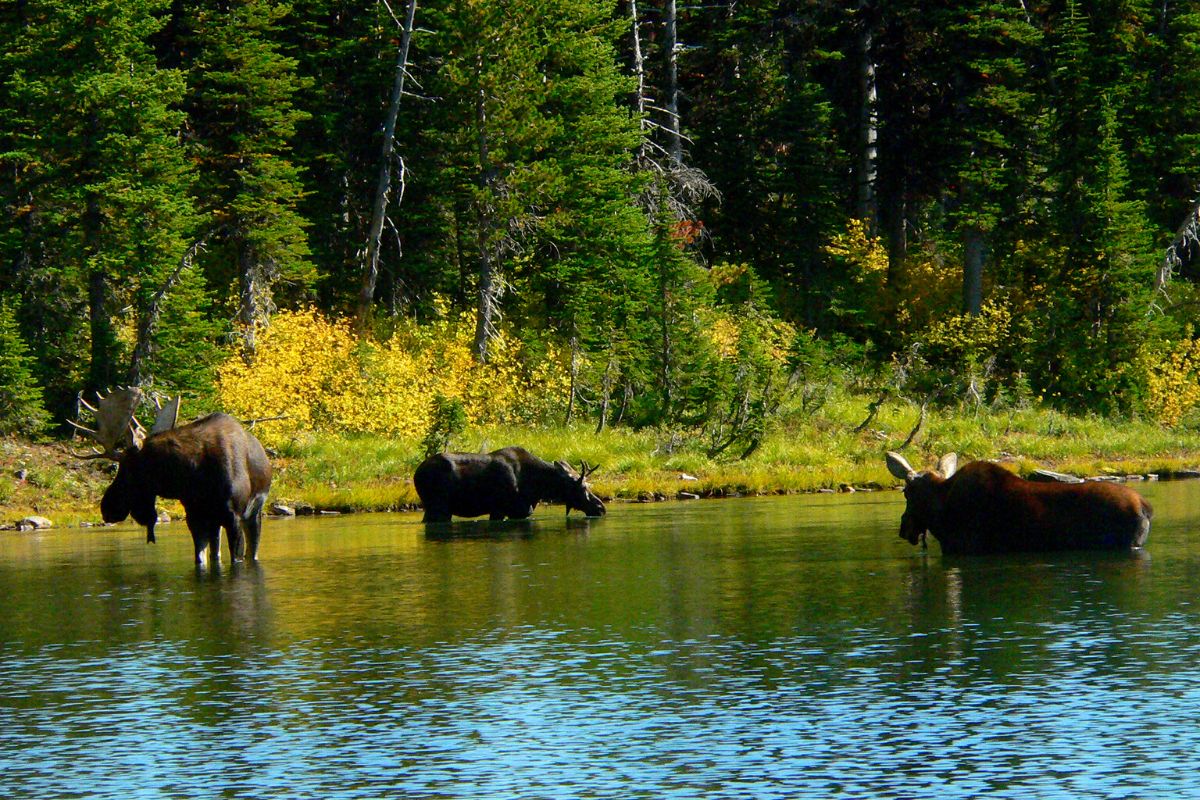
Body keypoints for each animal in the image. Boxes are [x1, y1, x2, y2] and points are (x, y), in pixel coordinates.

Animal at [73, 388, 273, 566]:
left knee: (252, 551)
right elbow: (200, 558)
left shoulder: (233, 517)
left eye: (126, 469)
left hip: (252, 513)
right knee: (216, 552)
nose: (106, 508)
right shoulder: (195, 516)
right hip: (215, 520)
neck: (191, 475)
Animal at [415, 448, 609, 522]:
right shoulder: (504, 509)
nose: (601, 507)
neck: (538, 488)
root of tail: (416, 474)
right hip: (438, 507)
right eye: (583, 487)